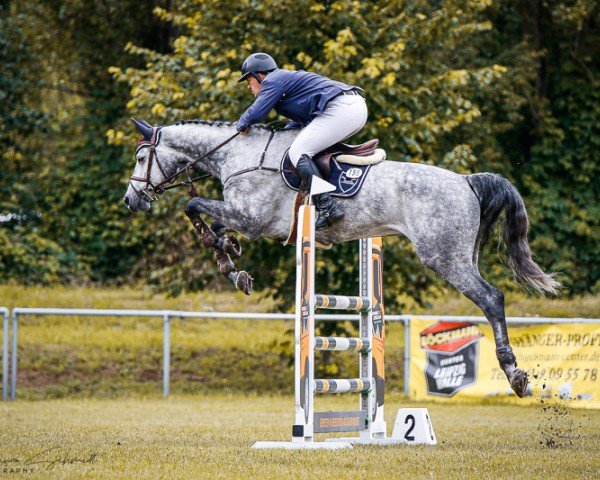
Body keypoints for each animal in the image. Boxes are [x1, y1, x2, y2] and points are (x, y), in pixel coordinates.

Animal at [124, 118, 560, 396]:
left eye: (141, 158)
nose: (131, 200)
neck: (240, 156)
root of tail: (467, 181)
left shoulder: (252, 219)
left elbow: (193, 205)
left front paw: (227, 259)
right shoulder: (249, 220)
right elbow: (211, 223)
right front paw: (231, 259)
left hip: (445, 258)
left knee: (491, 298)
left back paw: (514, 373)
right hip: (459, 256)